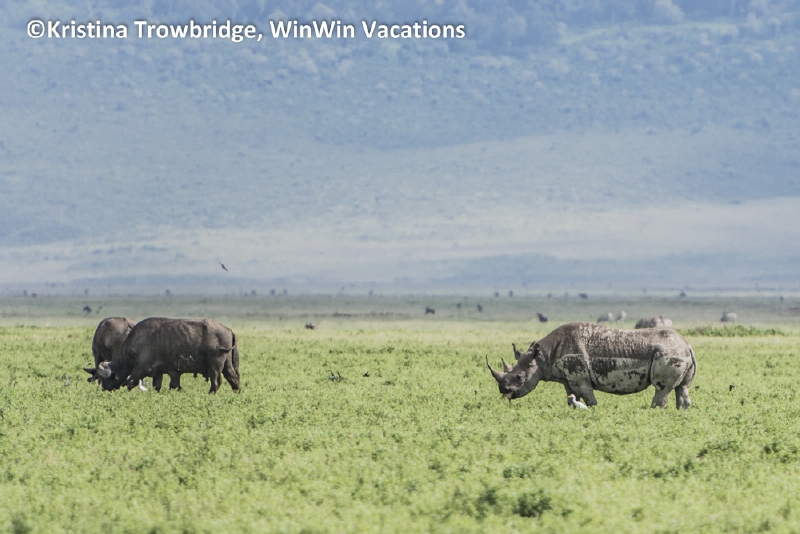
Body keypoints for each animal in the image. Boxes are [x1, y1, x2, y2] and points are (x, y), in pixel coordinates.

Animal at [96, 317, 240, 394]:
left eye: (105, 379)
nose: (103, 389)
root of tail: (228, 330)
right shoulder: (161, 373)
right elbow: (161, 387)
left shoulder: (139, 371)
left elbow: (130, 383)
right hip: (227, 365)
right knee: (234, 379)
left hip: (215, 365)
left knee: (216, 382)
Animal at [487, 322, 696, 409]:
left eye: (519, 377)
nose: (503, 390)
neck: (542, 357)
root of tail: (687, 345)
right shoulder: (569, 380)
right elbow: (572, 399)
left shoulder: (580, 379)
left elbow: (590, 400)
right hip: (679, 353)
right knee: (682, 388)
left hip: (669, 353)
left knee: (662, 389)